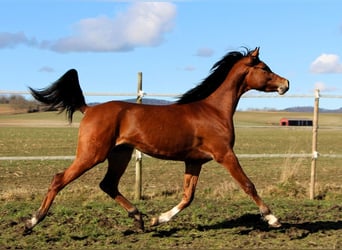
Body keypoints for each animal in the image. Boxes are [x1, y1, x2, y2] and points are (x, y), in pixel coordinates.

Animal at [24, 47, 288, 233]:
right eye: (265, 68)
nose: (286, 83)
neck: (213, 111)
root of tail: (89, 109)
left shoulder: (194, 162)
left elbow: (187, 197)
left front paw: (157, 220)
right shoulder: (224, 154)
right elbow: (248, 185)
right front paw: (273, 218)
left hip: (120, 154)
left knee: (108, 184)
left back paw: (139, 218)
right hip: (92, 154)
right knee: (59, 179)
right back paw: (32, 222)